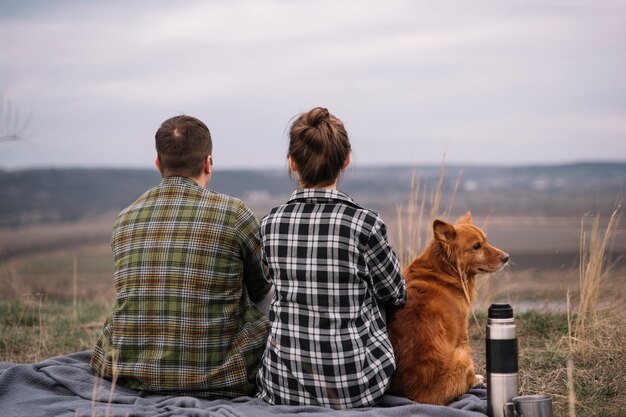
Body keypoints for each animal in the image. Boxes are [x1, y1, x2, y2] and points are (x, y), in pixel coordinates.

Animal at [386, 211, 508, 404]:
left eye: (486, 241)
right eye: (477, 246)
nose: (507, 257)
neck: (445, 270)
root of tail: (413, 396)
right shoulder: (463, 332)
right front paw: (476, 379)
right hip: (462, 357)